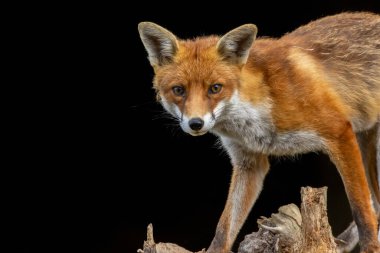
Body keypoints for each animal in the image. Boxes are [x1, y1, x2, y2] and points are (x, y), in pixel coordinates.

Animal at [139, 12, 380, 253]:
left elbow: (362, 210)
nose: (196, 123)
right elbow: (224, 228)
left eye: (215, 88)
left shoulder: (339, 131)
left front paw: (369, 248)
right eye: (179, 90)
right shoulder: (249, 163)